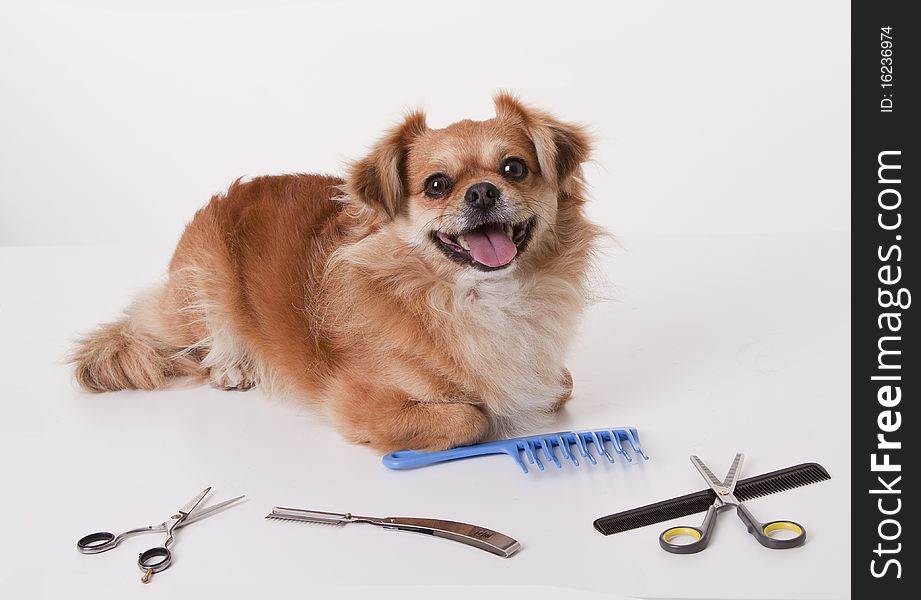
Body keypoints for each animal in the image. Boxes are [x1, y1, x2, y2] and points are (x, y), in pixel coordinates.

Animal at [72, 94, 604, 450]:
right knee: (173, 333)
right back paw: (232, 366)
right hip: (200, 286)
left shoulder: (551, 375)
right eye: (437, 185)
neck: (480, 298)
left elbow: (560, 386)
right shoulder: (357, 402)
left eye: (514, 169)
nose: (482, 192)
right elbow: (470, 418)